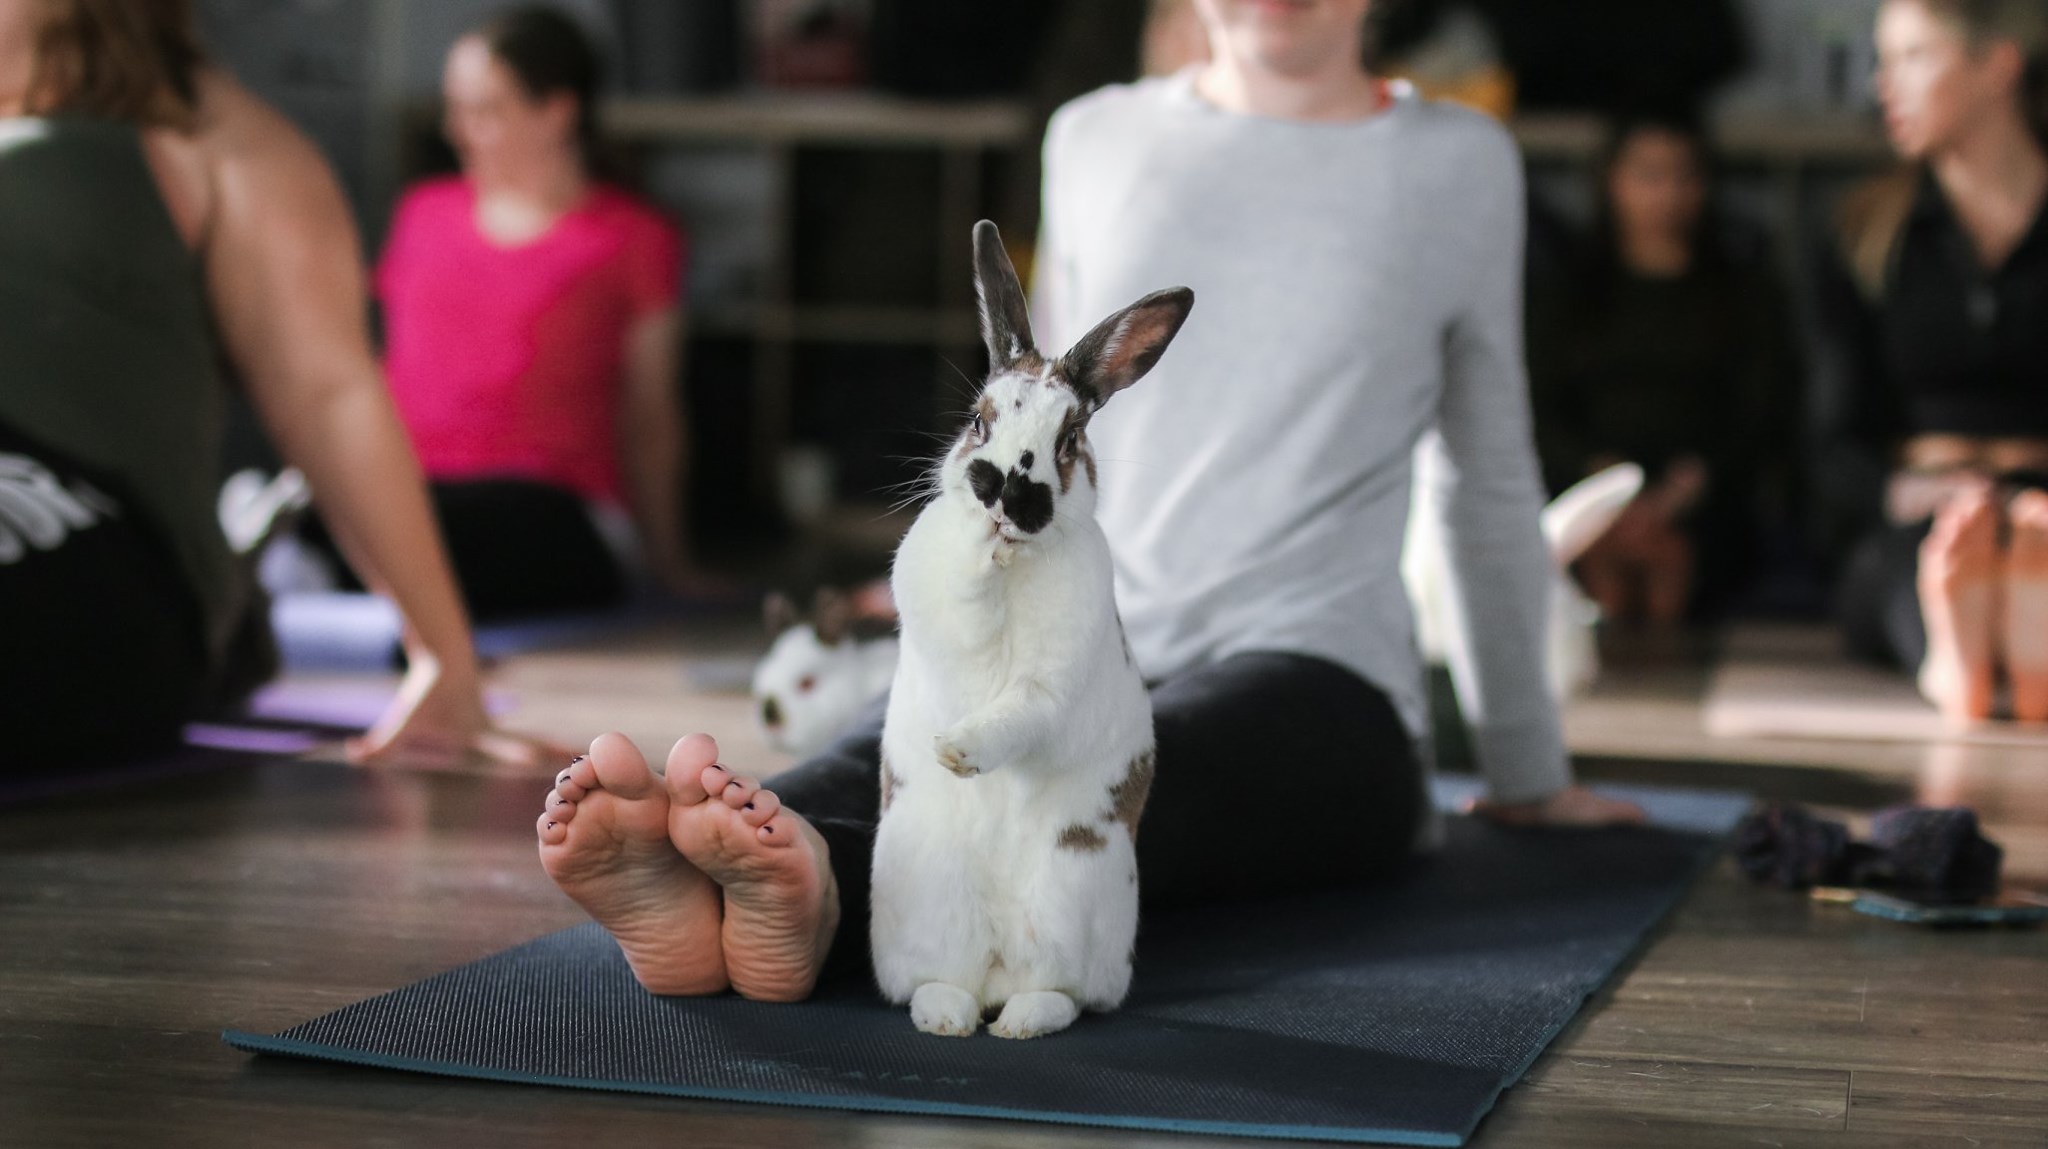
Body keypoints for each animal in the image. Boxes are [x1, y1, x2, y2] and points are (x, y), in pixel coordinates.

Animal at [869, 220, 1193, 1040]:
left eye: (1069, 438)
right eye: (979, 418)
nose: (1006, 489)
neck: (1013, 567)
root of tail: (994, 970)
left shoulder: (1050, 683)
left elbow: (1019, 711)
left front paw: (959, 751)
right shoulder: (948, 619)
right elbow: (963, 602)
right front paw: (977, 547)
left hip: (1076, 894)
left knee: (1062, 995)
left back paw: (1016, 1023)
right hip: (921, 898)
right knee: (938, 983)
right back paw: (947, 1019)